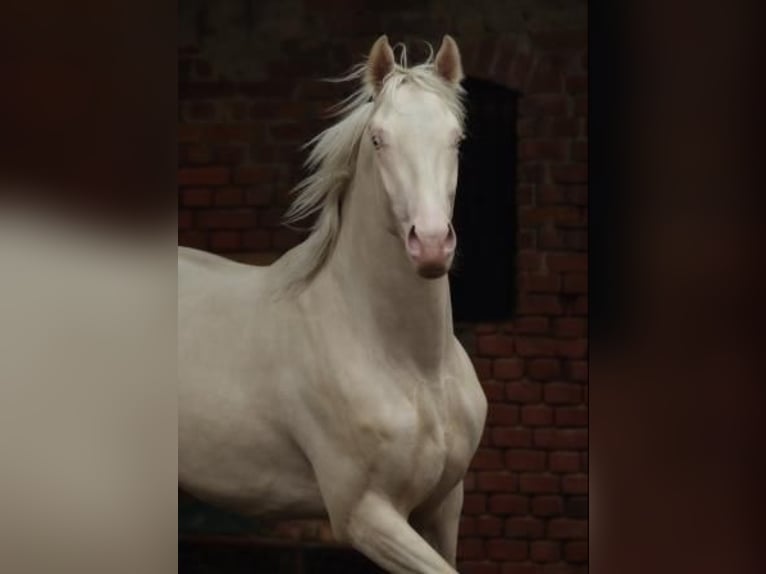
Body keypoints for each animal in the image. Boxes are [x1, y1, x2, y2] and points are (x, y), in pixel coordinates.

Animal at [181, 35, 488, 572]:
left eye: (457, 139)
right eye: (379, 140)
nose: (430, 244)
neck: (415, 367)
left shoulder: (444, 506)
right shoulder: (365, 514)